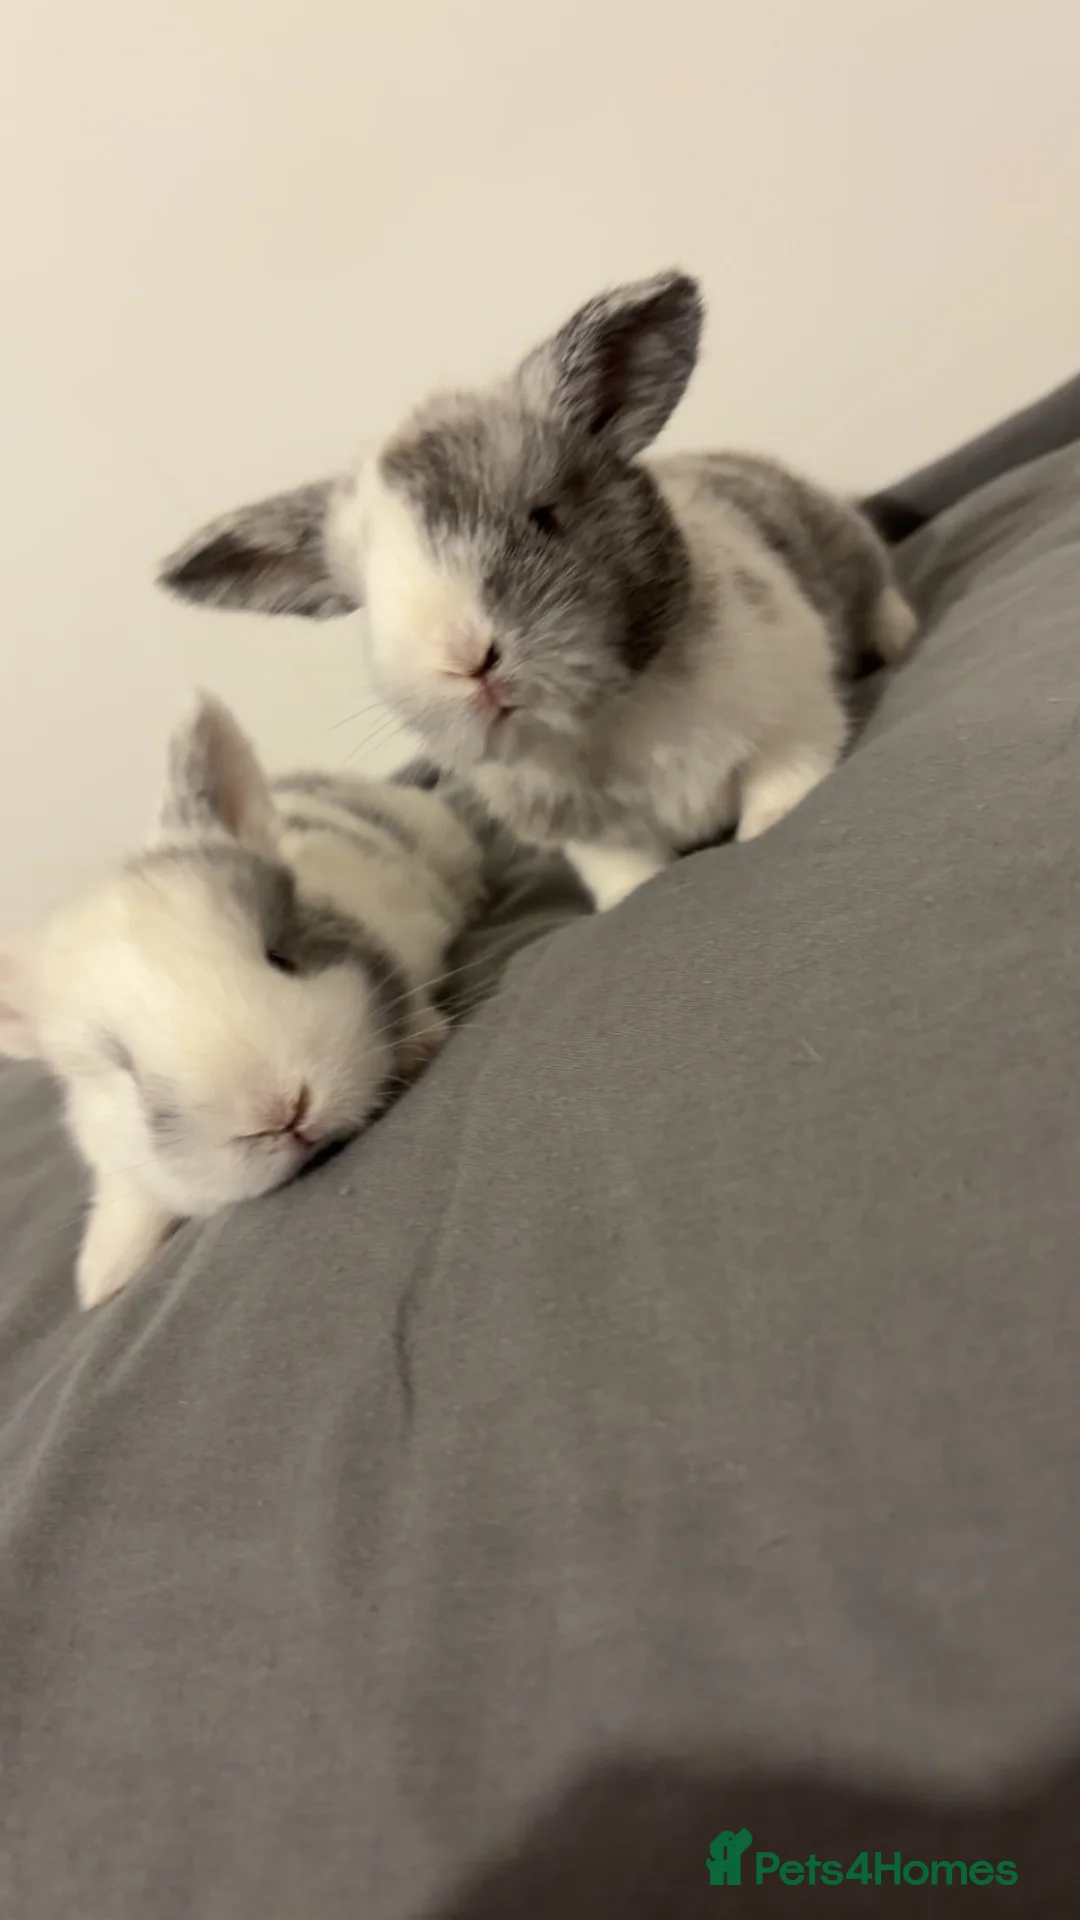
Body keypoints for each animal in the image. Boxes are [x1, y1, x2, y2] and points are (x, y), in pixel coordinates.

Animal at [0, 693, 484, 1309]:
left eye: (280, 956)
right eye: (125, 1071)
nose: (281, 1113)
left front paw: (419, 1043)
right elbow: (126, 1199)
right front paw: (103, 1280)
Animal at [157, 269, 917, 911]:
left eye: (543, 517)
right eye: (370, 602)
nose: (467, 660)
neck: (604, 720)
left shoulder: (794, 706)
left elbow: (783, 778)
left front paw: (768, 825)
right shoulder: (590, 834)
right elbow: (624, 867)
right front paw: (632, 896)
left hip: (844, 549)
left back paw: (897, 637)